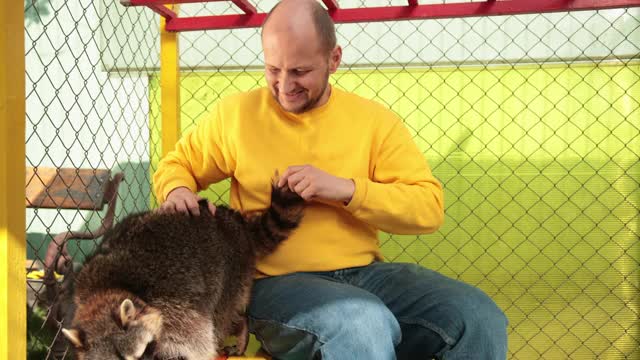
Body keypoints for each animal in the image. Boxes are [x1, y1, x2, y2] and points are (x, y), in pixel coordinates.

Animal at [62, 180, 304, 360]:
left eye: (142, 352)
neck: (105, 289)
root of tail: (234, 220)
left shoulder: (173, 303)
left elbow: (194, 341)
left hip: (231, 268)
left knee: (222, 313)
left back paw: (240, 327)